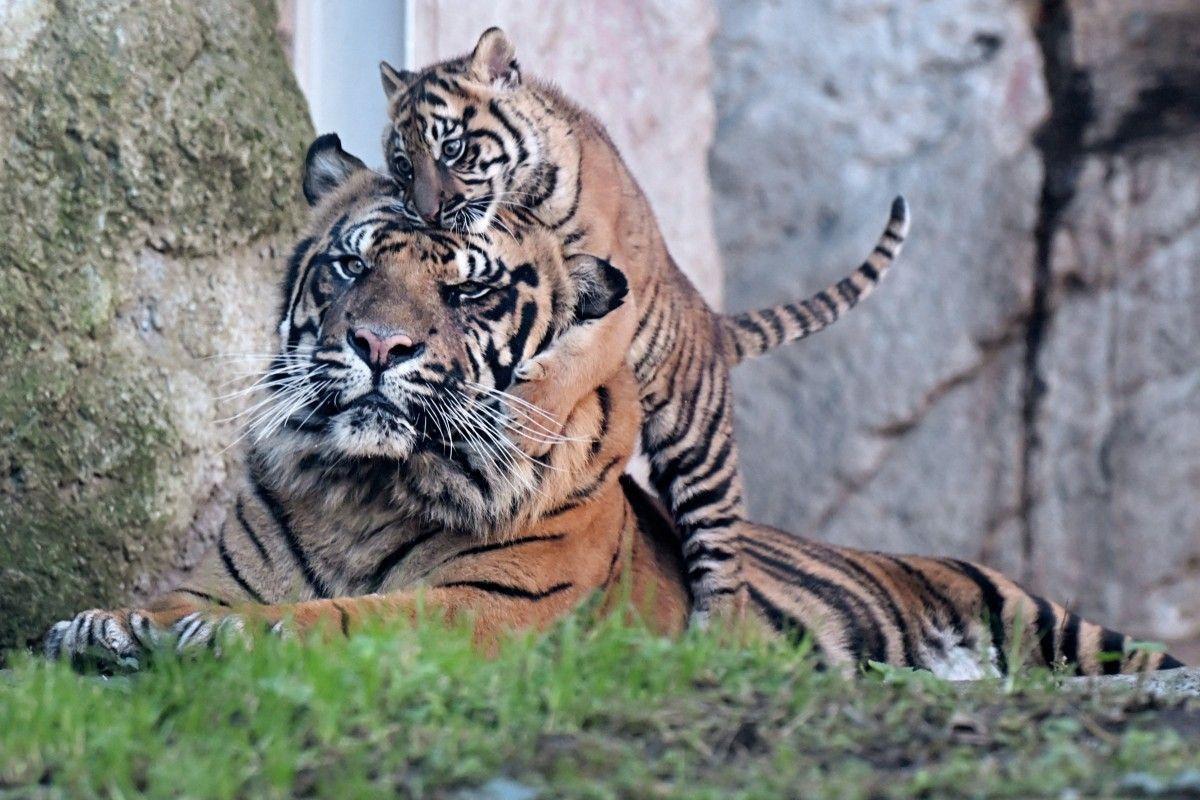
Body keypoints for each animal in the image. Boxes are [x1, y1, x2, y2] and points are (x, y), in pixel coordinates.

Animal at [44, 135, 1182, 679]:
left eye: (467, 290)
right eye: (352, 265)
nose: (377, 348)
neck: (362, 494)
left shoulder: (482, 606)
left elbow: (341, 618)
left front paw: (210, 643)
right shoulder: (223, 571)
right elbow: (183, 601)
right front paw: (106, 623)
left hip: (1045, 618)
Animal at [378, 28, 910, 625]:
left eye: (452, 148)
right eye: (402, 165)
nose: (427, 212)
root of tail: (710, 319)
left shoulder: (614, 296)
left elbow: (575, 362)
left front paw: (528, 412)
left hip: (698, 448)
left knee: (724, 553)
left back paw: (713, 632)